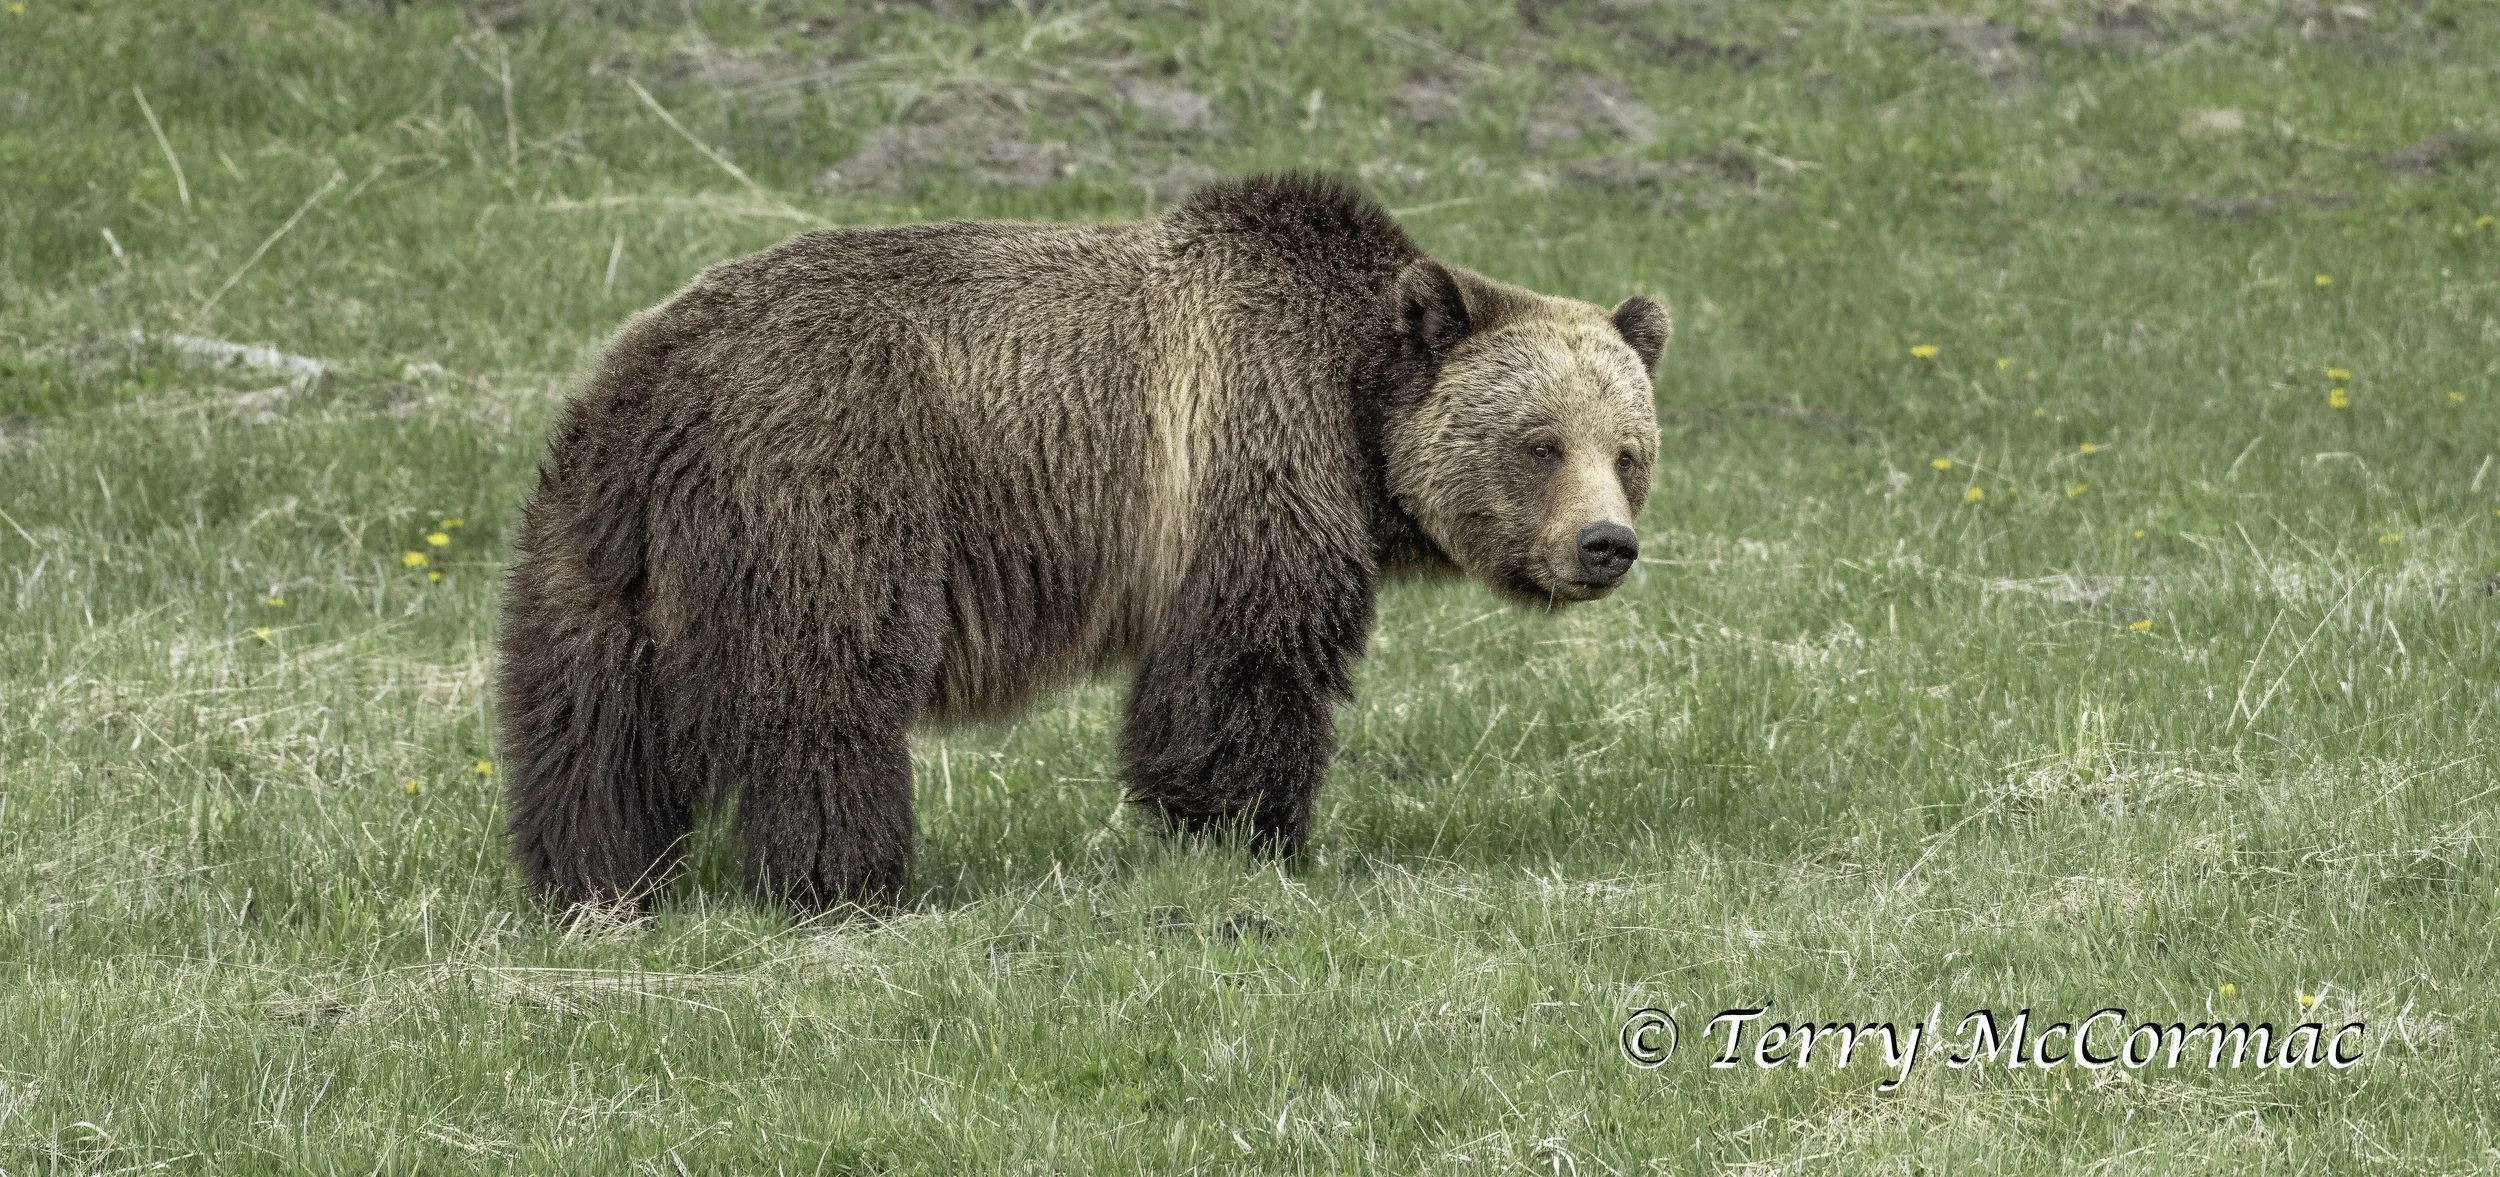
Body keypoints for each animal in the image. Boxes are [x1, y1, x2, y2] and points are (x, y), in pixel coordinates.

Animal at [496, 172, 1667, 914]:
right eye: (1540, 443)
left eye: (1629, 448)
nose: (1605, 544)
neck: (1355, 401)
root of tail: (660, 383)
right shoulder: (1250, 450)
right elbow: (1244, 668)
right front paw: (1257, 835)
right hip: (828, 483)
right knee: (825, 696)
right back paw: (846, 879)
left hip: (590, 543)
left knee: (586, 719)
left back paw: (593, 876)